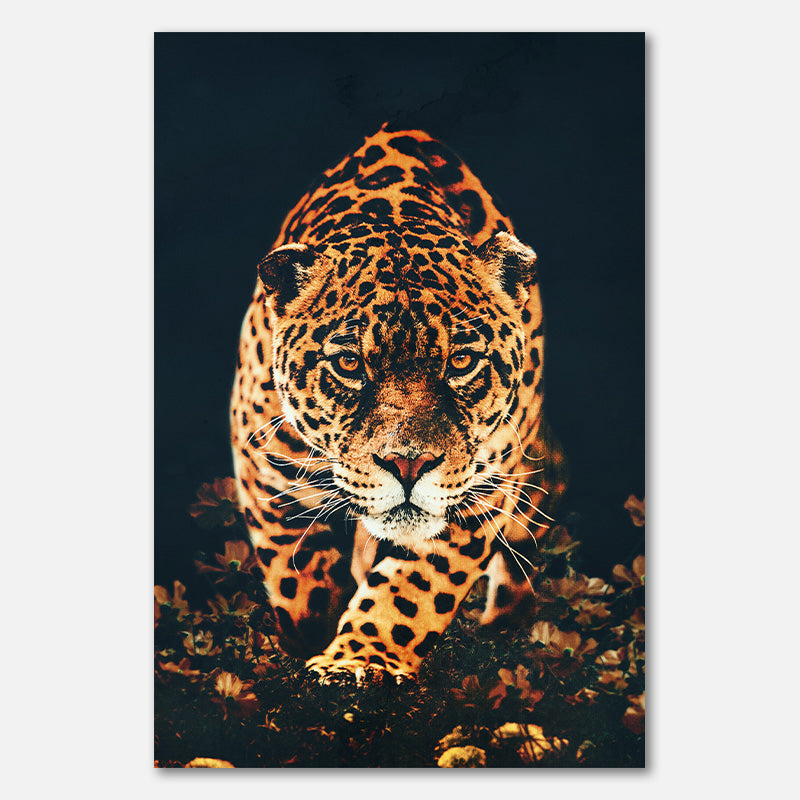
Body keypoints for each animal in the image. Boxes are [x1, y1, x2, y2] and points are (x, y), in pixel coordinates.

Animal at [230, 123, 566, 684]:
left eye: (461, 361)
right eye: (349, 364)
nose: (408, 465)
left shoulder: (479, 490)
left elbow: (413, 591)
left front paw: (359, 659)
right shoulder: (267, 466)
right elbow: (297, 573)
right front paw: (310, 639)